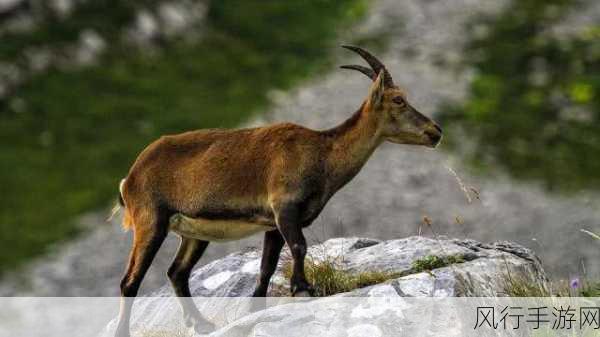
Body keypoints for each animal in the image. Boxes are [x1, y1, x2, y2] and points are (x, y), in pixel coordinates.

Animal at [112, 45, 440, 336]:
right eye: (398, 99)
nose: (435, 131)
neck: (321, 153)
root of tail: (130, 177)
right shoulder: (285, 207)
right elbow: (299, 246)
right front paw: (302, 289)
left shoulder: (273, 223)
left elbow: (266, 265)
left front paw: (255, 309)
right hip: (150, 220)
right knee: (130, 281)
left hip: (193, 232)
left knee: (177, 272)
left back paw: (203, 324)